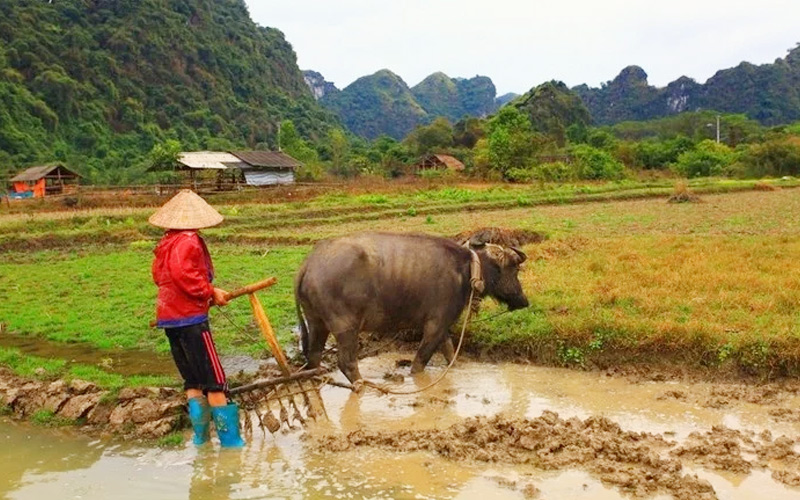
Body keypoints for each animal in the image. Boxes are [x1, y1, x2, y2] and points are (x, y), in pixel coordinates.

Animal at [294, 231, 532, 386]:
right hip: (345, 328)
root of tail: (310, 263)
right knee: (346, 362)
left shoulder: (443, 327)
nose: (524, 301)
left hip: (316, 322)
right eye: (514, 268)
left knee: (314, 356)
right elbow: (420, 360)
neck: (466, 269)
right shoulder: (435, 325)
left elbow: (449, 352)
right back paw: (363, 386)